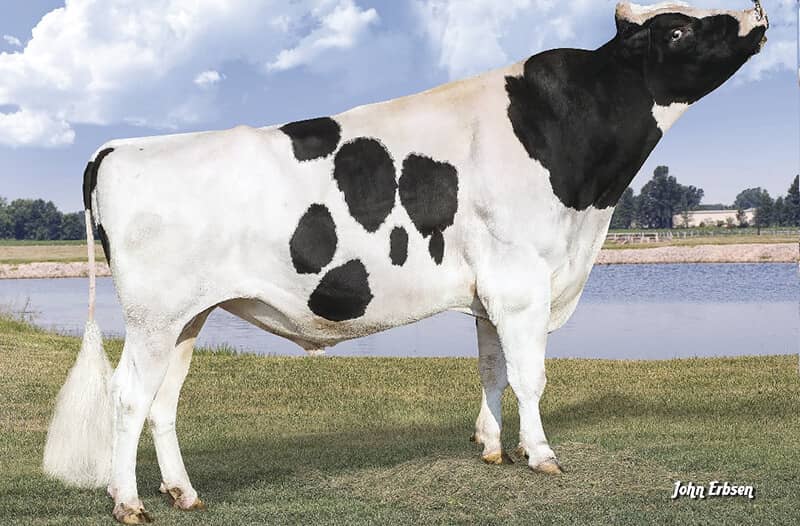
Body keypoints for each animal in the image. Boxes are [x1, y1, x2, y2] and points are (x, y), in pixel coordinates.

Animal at [43, 2, 768, 523]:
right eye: (677, 28)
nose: (757, 11)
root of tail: (116, 148)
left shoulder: (490, 291)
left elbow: (492, 371)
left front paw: (492, 448)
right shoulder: (522, 283)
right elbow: (530, 377)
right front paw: (540, 455)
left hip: (187, 318)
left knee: (161, 403)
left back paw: (183, 494)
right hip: (152, 317)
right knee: (128, 395)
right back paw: (128, 504)